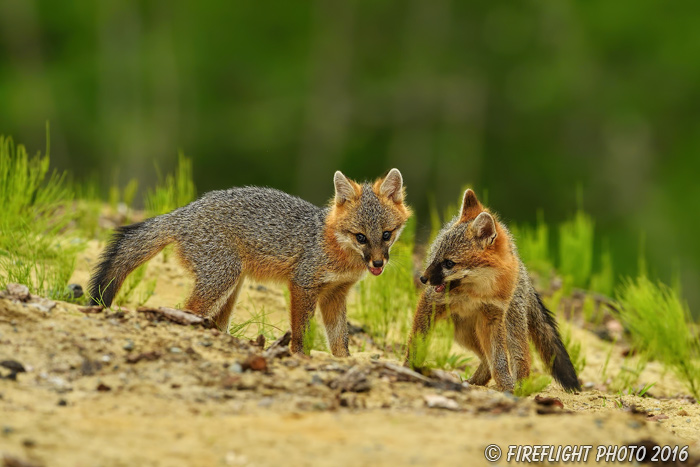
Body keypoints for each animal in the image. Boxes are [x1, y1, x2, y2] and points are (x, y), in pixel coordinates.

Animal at [89, 170, 410, 356]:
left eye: (386, 234)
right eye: (360, 237)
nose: (378, 264)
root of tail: (183, 212)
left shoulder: (335, 294)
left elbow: (340, 341)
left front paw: (343, 364)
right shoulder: (303, 284)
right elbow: (301, 332)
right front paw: (298, 356)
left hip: (232, 287)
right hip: (222, 279)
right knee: (187, 309)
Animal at [404, 188, 580, 394]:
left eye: (449, 263)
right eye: (435, 256)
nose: (423, 278)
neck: (476, 292)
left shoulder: (493, 316)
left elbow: (500, 361)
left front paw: (507, 385)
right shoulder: (431, 302)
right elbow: (417, 341)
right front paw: (409, 366)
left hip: (506, 328)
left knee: (517, 358)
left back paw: (519, 387)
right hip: (461, 331)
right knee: (485, 359)